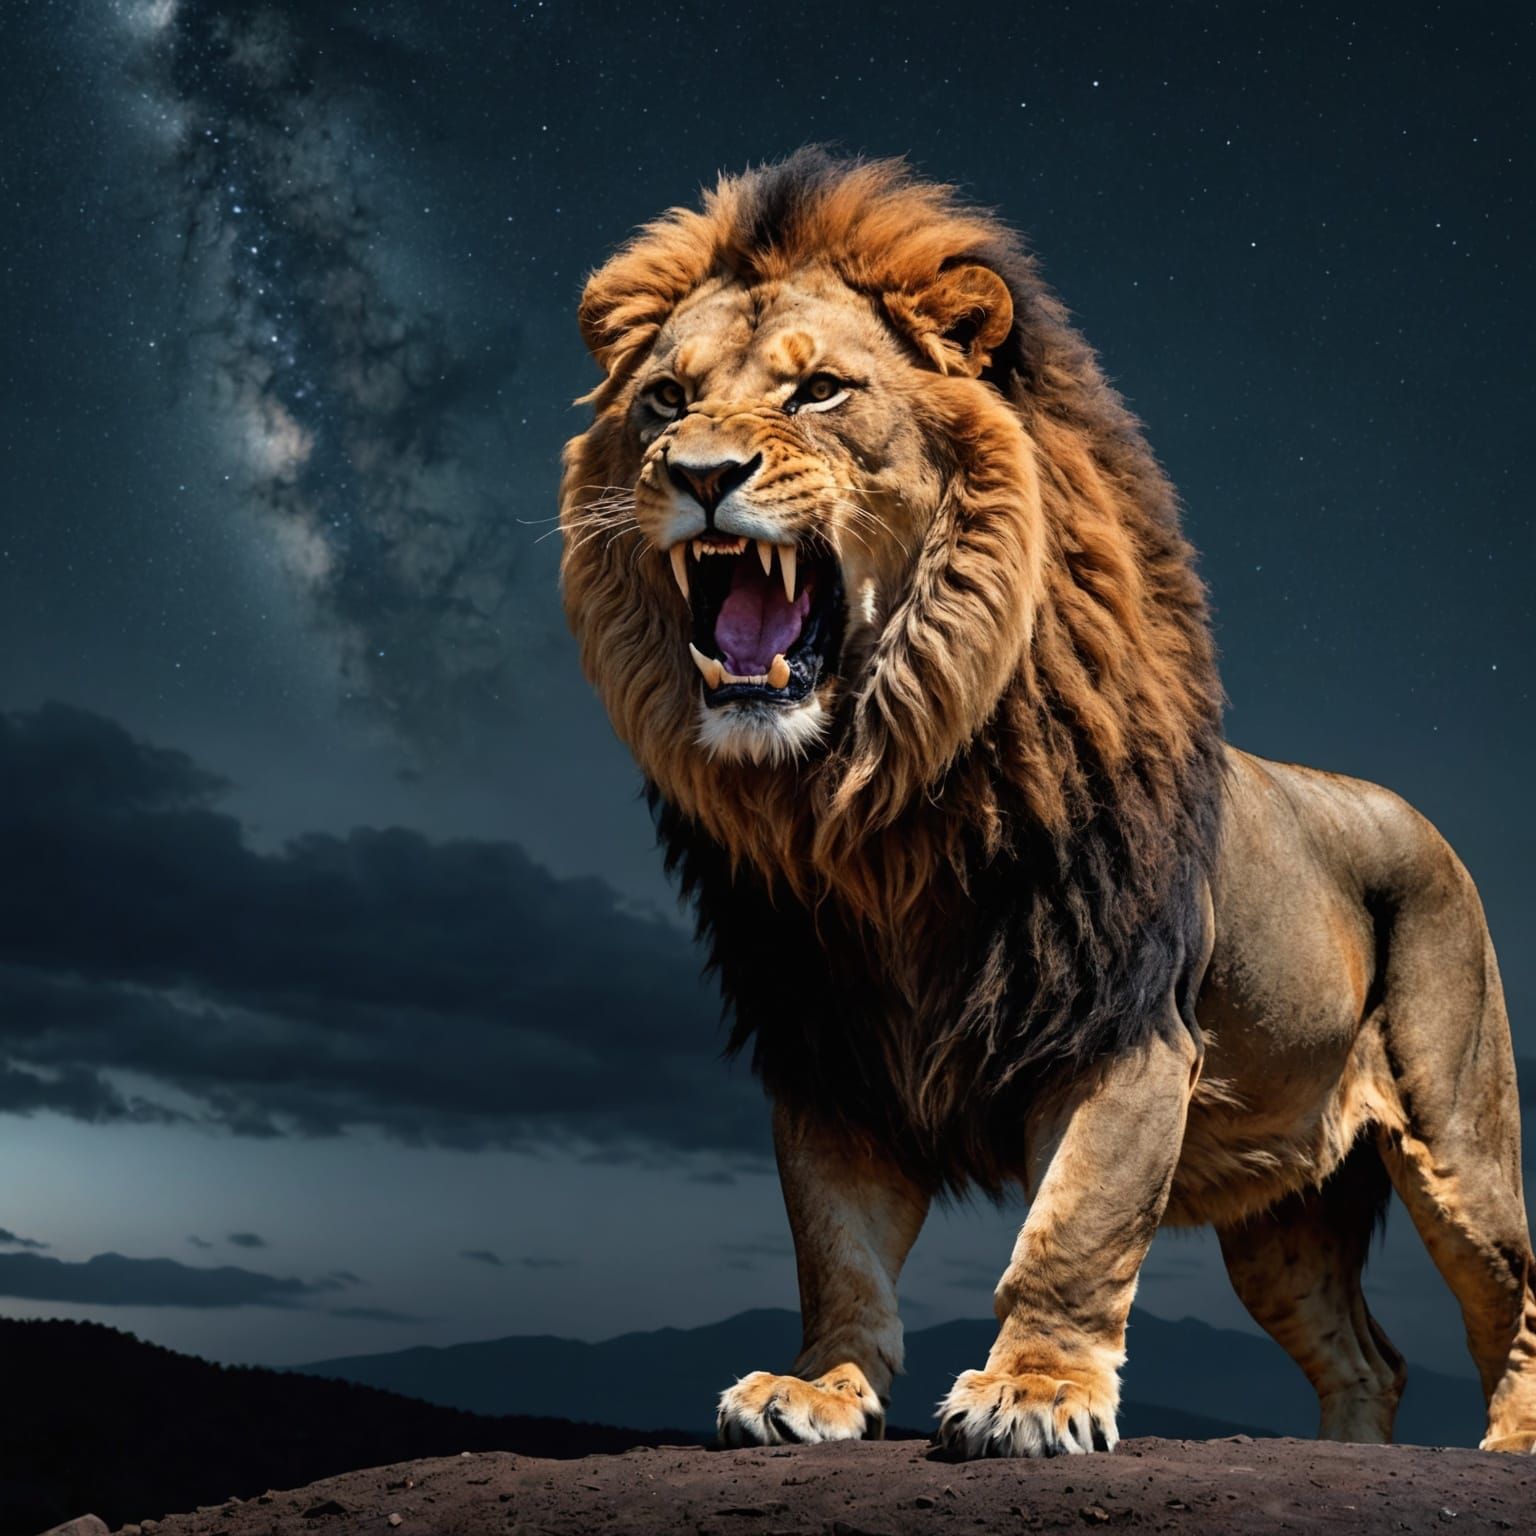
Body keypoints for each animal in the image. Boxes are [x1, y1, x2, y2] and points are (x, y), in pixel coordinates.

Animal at [558, 149, 1536, 1457]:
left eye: (820, 391)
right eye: (665, 400)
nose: (700, 476)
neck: (875, 805)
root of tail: (1414, 817)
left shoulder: (1125, 1028)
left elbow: (1074, 1229)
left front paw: (1034, 1392)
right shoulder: (828, 1054)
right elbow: (837, 1252)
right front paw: (814, 1388)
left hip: (1459, 1139)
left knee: (1512, 1296)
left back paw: (1510, 1442)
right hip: (1279, 1207)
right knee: (1365, 1357)